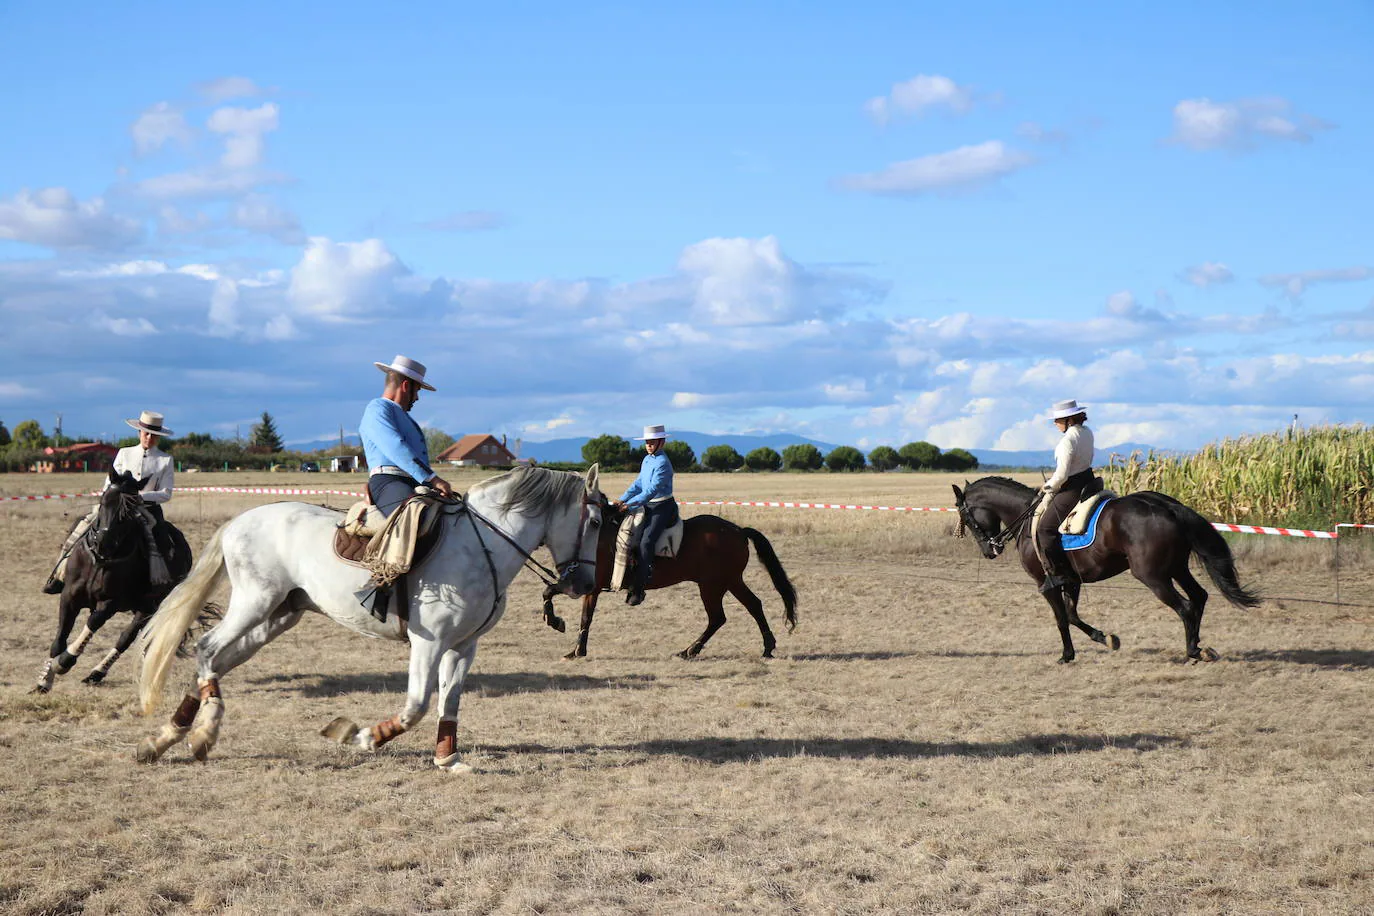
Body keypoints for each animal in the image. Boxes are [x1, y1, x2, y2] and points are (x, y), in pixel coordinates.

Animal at [33, 472, 190, 694]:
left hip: (148, 607)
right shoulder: (69, 596)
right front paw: (44, 680)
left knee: (127, 638)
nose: (103, 542)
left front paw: (65, 661)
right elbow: (60, 638)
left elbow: (93, 623)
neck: (100, 560)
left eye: (130, 512)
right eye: (104, 501)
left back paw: (97, 672)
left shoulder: (110, 602)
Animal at [138, 466, 601, 774]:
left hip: (277, 617)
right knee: (206, 649)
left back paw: (165, 739)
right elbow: (416, 705)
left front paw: (448, 758)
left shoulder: (463, 646)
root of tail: (238, 522)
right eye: (596, 520)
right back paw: (203, 732)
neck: (482, 543)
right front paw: (358, 736)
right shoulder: (429, 643)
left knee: (215, 663)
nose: (585, 583)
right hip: (254, 603)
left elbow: (449, 702)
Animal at [535, 502, 796, 659]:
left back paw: (691, 649)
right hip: (730, 582)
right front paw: (562, 630)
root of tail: (739, 530)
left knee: (718, 617)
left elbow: (581, 614)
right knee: (753, 605)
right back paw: (766, 647)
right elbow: (553, 595)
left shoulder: (589, 586)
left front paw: (573, 645)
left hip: (712, 586)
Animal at [950, 477, 1258, 661]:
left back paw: (1192, 651)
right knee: (1199, 597)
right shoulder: (1070, 580)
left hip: (1154, 576)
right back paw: (1200, 647)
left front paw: (1067, 654)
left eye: (965, 515)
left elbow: (1061, 618)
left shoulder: (1045, 583)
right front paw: (1106, 639)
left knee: (1185, 607)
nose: (989, 550)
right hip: (1176, 568)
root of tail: (1167, 507)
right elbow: (1073, 615)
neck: (1028, 518)